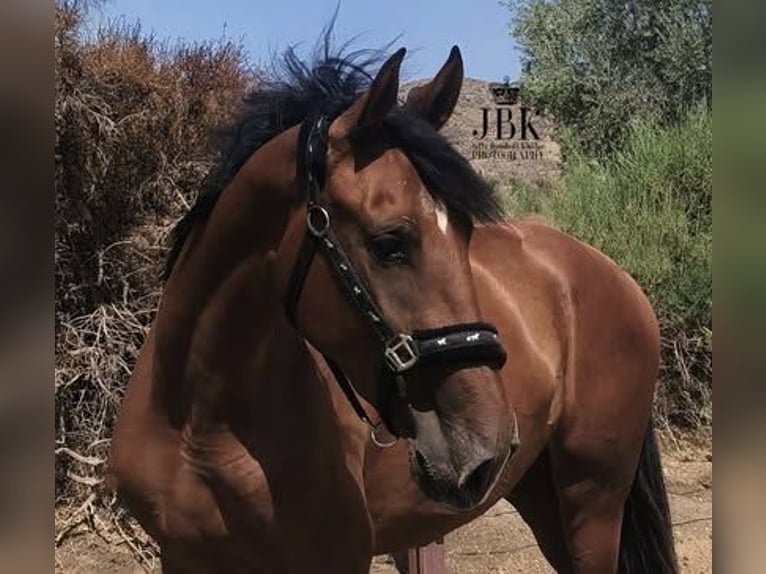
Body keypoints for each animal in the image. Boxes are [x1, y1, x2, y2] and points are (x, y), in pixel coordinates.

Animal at [106, 37, 680, 574]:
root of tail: (616, 277)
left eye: (466, 231)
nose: (487, 446)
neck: (199, 424)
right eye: (390, 244)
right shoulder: (182, 556)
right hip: (543, 499)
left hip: (592, 503)